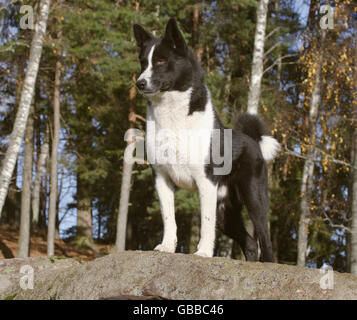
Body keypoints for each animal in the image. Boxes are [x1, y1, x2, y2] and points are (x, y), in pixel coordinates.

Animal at [132, 18, 280, 262]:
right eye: (143, 62)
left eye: (161, 61)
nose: (139, 83)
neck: (172, 114)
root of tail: (252, 141)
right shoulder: (162, 178)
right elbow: (168, 217)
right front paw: (167, 246)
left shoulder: (205, 182)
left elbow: (205, 224)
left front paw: (202, 252)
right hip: (225, 211)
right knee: (250, 243)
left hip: (253, 198)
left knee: (264, 239)